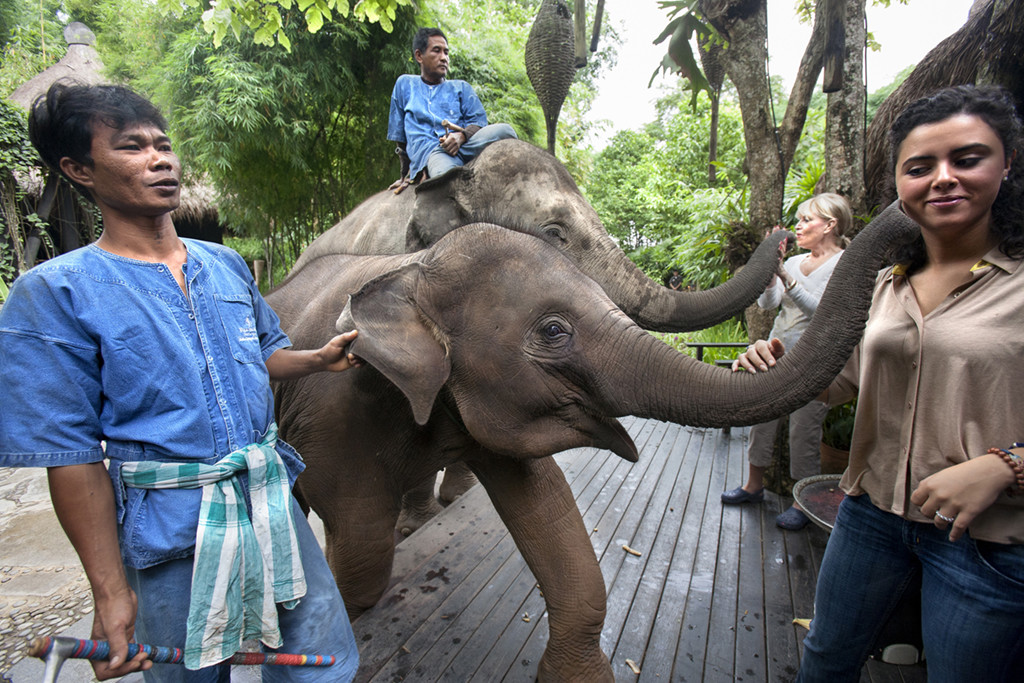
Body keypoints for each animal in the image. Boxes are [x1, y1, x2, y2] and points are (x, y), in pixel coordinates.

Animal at [268, 204, 917, 683]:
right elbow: (360, 556)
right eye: (554, 331)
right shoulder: (338, 409)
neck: (414, 269)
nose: (786, 234)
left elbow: (546, 504)